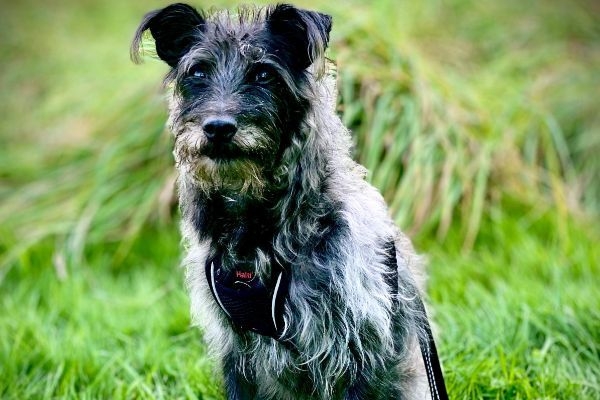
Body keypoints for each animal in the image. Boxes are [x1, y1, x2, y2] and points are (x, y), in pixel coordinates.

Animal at [131, 3, 442, 400]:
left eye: (264, 73)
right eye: (198, 71)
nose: (218, 127)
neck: (257, 233)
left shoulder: (359, 346)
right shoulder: (236, 349)